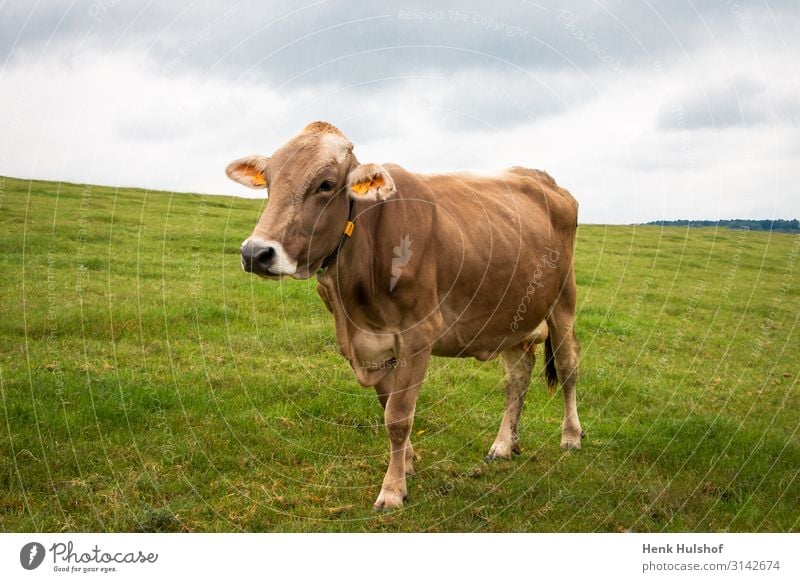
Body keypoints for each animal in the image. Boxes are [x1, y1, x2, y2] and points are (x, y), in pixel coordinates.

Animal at [225, 123, 580, 512]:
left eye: (326, 185)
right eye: (270, 182)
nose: (255, 253)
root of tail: (542, 178)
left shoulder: (417, 335)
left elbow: (397, 416)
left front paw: (392, 490)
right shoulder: (373, 346)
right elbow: (388, 405)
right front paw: (407, 464)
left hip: (563, 302)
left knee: (568, 367)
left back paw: (571, 437)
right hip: (512, 316)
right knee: (517, 377)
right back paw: (504, 444)